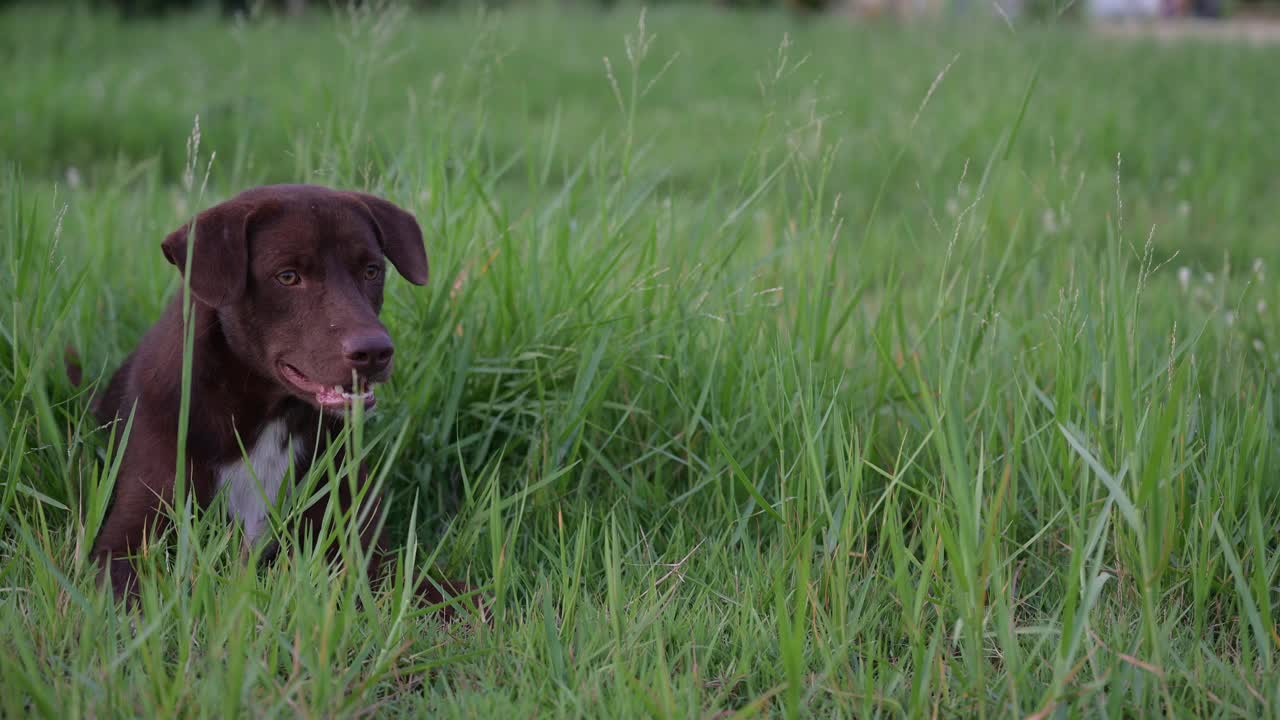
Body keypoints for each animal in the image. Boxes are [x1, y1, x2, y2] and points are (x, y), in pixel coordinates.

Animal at [88, 183, 481, 617]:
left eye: (371, 271)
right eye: (288, 276)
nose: (375, 352)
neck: (270, 415)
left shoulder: (360, 548)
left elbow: (447, 593)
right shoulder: (126, 541)